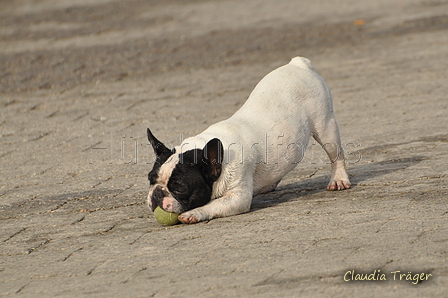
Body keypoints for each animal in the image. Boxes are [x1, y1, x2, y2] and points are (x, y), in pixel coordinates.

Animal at [146, 56, 350, 224]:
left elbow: (213, 205)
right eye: (150, 180)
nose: (157, 194)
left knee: (336, 155)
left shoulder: (238, 198)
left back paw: (339, 179)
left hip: (326, 127)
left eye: (179, 188)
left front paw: (194, 213)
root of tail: (298, 64)